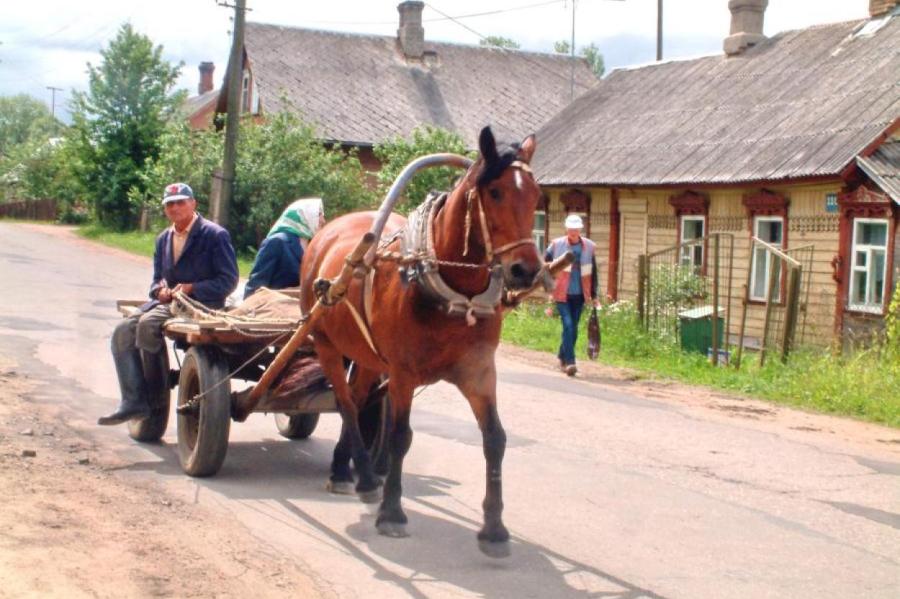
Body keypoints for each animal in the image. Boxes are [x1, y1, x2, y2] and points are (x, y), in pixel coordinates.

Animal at [300, 126, 540, 556]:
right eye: (495, 192)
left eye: (536, 196)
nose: (525, 269)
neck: (453, 291)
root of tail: (327, 233)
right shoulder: (403, 374)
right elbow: (400, 436)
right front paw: (392, 512)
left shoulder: (479, 372)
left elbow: (495, 439)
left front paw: (494, 528)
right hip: (326, 343)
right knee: (346, 403)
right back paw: (364, 476)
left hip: (368, 357)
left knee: (356, 399)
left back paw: (344, 467)